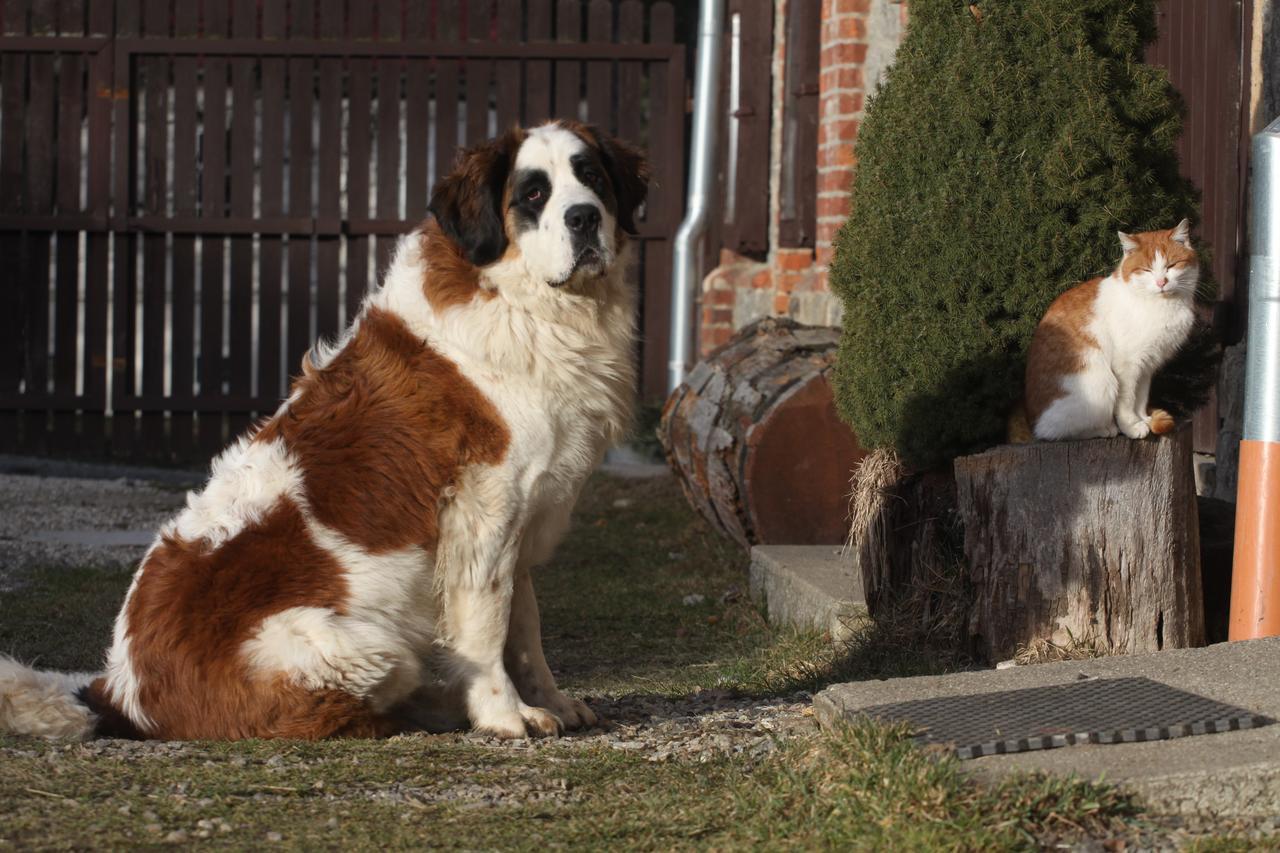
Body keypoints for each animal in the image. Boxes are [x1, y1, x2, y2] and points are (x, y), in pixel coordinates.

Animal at [0, 119, 650, 737]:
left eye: (591, 177)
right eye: (533, 194)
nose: (584, 217)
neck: (523, 301)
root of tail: (119, 691)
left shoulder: (519, 516)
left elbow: (525, 626)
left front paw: (551, 702)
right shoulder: (485, 513)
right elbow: (489, 626)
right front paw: (504, 714)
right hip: (369, 646)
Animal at [1018, 219, 1198, 440]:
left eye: (1171, 265)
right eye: (1146, 270)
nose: (1161, 282)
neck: (1160, 304)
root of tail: (1031, 421)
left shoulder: (1146, 365)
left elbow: (1140, 398)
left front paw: (1143, 419)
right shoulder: (1127, 365)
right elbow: (1127, 401)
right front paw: (1132, 426)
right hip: (1101, 383)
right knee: (1056, 431)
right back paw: (1105, 429)